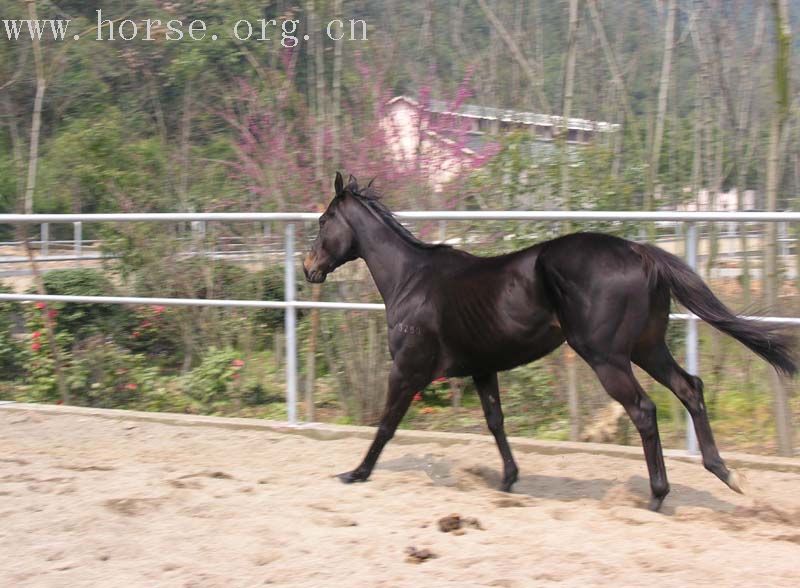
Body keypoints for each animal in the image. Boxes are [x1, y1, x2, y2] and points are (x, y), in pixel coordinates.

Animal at [304, 171, 796, 510]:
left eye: (325, 220)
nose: (309, 268)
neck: (411, 280)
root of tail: (640, 252)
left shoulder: (408, 368)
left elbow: (386, 424)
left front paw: (356, 473)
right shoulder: (482, 369)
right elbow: (495, 422)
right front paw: (508, 479)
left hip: (607, 357)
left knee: (644, 409)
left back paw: (658, 495)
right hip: (647, 347)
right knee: (690, 388)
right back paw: (726, 474)